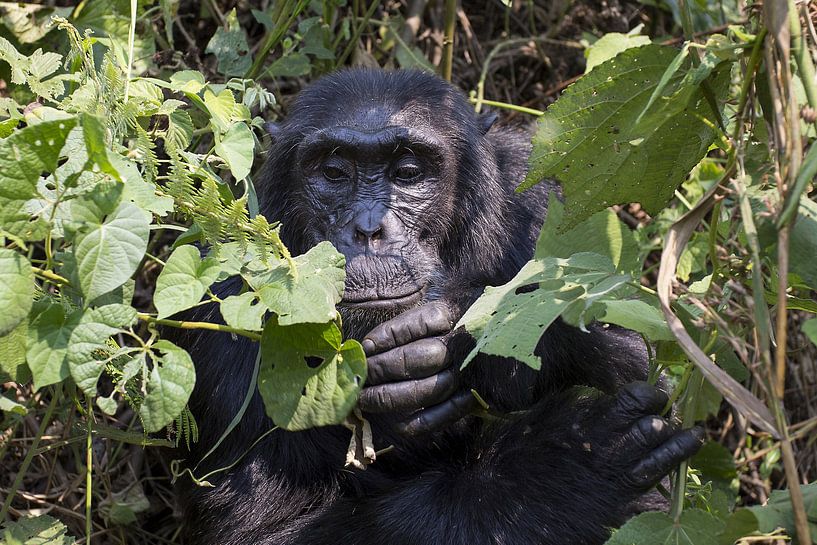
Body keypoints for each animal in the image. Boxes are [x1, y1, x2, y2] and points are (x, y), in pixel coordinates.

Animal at [172, 69, 700, 544]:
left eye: (408, 173)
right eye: (334, 173)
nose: (369, 228)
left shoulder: (547, 202)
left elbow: (640, 348)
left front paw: (466, 337)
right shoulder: (222, 318)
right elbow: (265, 527)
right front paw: (562, 465)